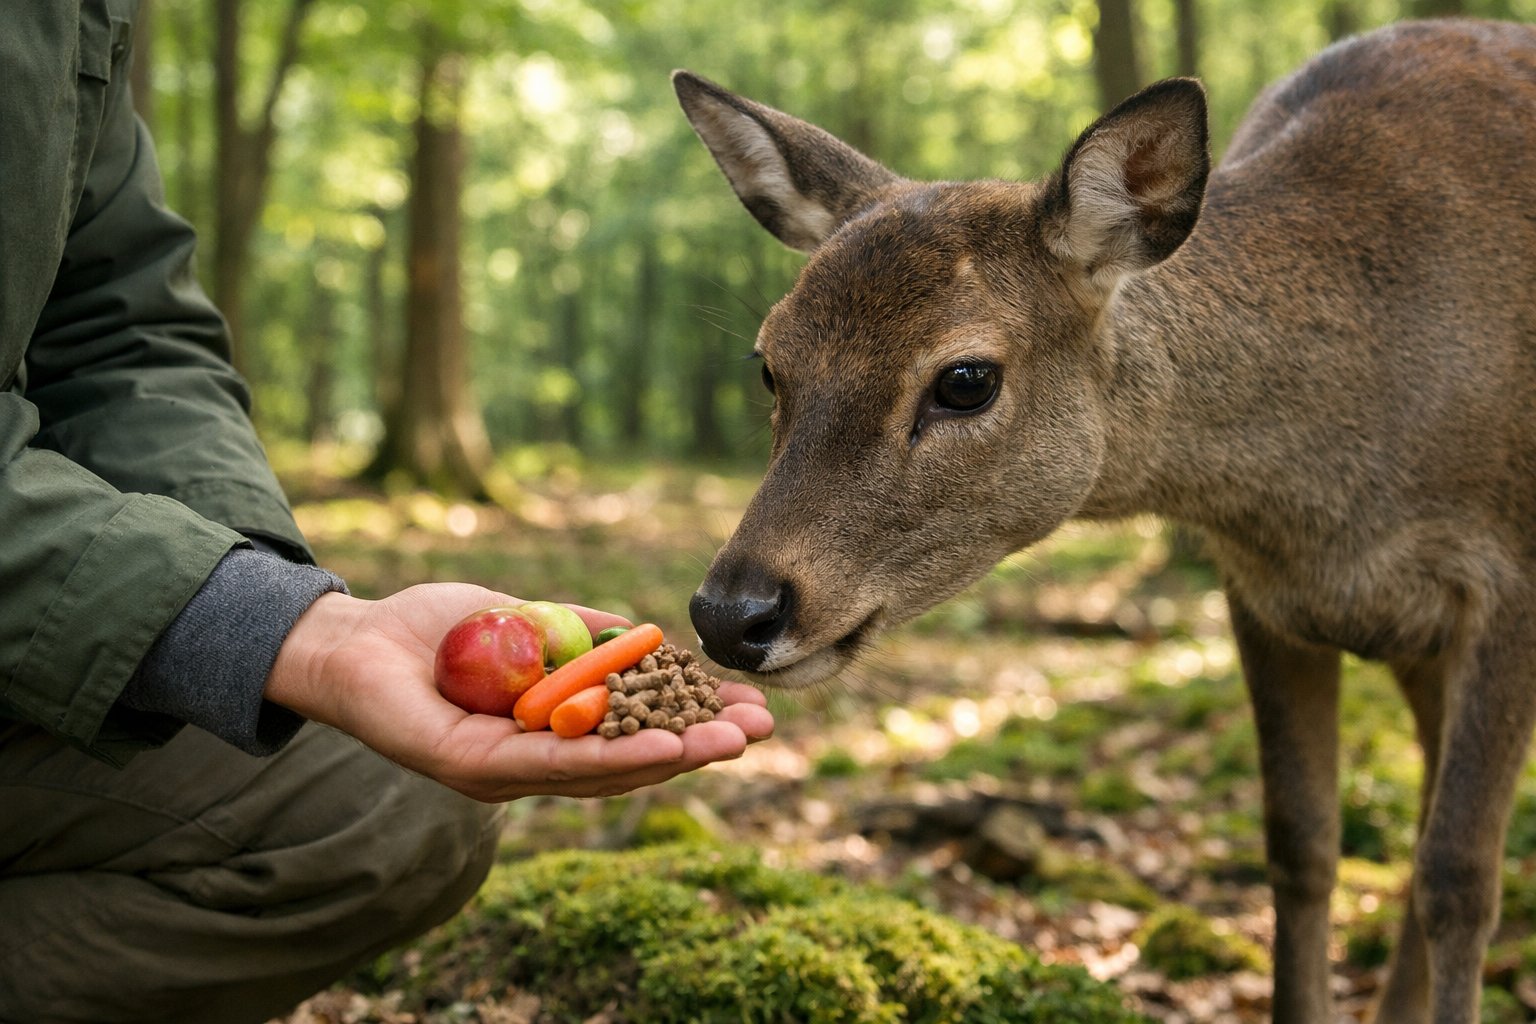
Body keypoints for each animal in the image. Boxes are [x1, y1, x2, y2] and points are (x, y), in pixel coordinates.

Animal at [673, 17, 1536, 1024]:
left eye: (966, 379)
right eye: (769, 362)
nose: (732, 613)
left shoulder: (1512, 583)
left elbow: (1460, 878)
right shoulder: (1260, 593)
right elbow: (1300, 845)